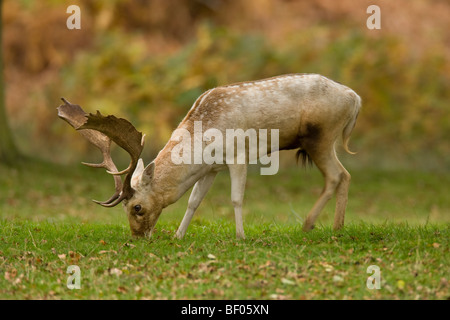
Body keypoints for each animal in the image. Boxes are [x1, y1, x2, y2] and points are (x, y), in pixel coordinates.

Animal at [59, 73, 362, 238]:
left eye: (137, 207)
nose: (137, 236)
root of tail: (355, 97)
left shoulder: (239, 155)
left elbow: (236, 198)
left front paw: (240, 235)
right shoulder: (211, 168)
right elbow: (194, 201)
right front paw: (179, 235)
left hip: (321, 137)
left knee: (336, 176)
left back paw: (309, 225)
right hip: (324, 141)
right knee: (346, 174)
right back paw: (337, 227)